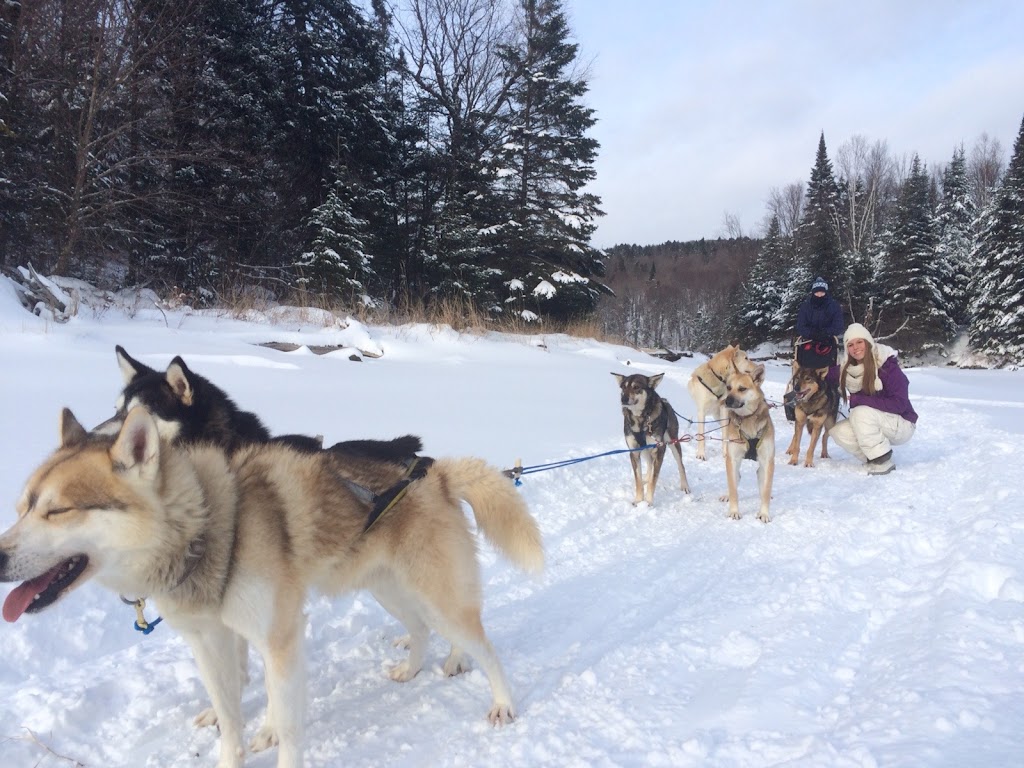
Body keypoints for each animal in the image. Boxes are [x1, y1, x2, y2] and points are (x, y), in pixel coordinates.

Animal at [2, 409, 544, 765]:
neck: (209, 528)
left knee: (482, 643)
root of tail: (436, 474)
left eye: (57, 510)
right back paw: (421, 667)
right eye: (23, 507)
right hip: (390, 591)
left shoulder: (279, 639)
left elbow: (283, 719)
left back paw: (500, 701)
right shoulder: (212, 641)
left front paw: (271, 737)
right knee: (423, 629)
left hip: (434, 593)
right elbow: (231, 717)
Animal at [716, 364, 770, 524]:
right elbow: (733, 488)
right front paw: (734, 511)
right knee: (735, 478)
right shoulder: (733, 459)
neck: (748, 419)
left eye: (742, 389)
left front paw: (764, 513)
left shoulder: (767, 461)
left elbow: (766, 490)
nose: (727, 401)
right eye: (728, 387)